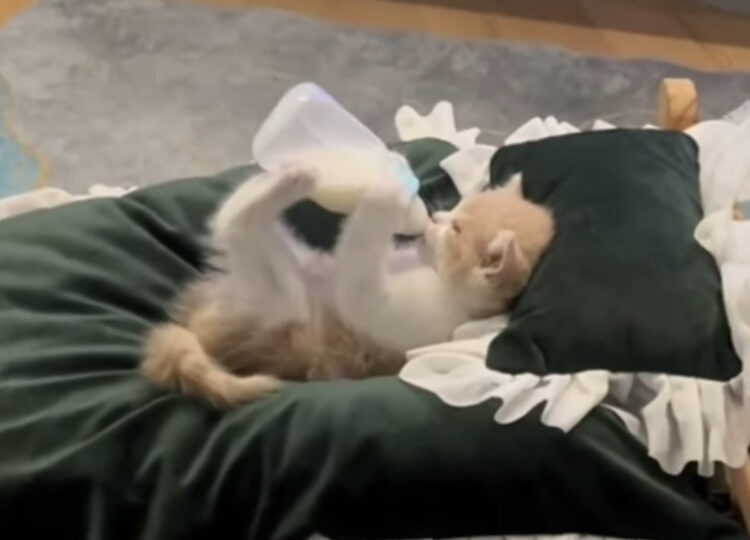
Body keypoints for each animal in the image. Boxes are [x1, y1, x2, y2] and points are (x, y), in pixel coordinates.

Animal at [141, 157, 555, 407]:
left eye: (456, 229)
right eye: (457, 209)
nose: (436, 218)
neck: (443, 283)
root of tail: (198, 329)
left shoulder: (384, 310)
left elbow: (361, 250)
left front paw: (388, 189)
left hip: (276, 302)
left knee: (235, 224)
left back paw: (288, 182)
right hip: (297, 260)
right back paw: (288, 176)